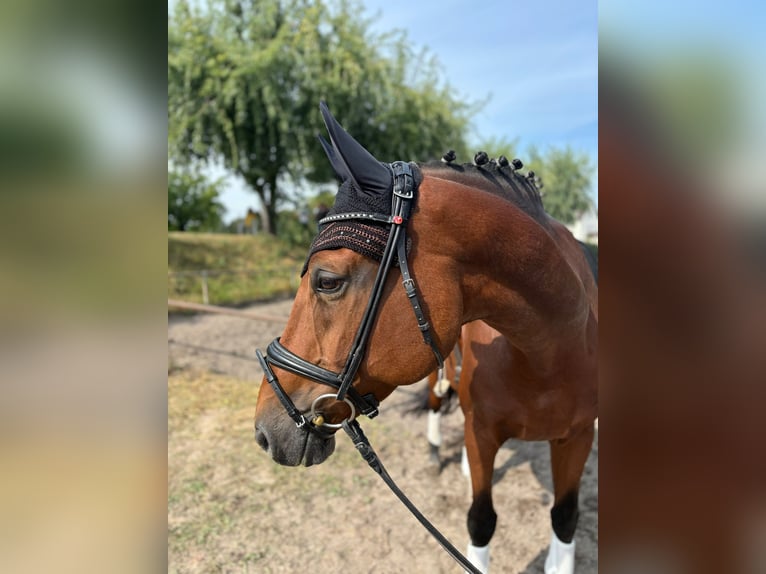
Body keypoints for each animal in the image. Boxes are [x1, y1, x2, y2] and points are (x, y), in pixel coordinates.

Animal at [255, 104, 596, 574]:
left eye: (327, 281)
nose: (263, 431)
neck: (547, 353)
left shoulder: (578, 437)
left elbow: (564, 519)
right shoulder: (483, 432)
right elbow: (481, 519)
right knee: (439, 402)